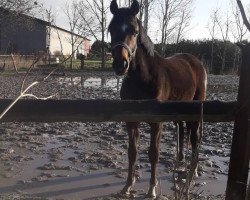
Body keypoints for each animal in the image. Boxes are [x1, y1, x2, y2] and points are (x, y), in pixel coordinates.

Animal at [109, 0, 207, 197]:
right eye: (110, 29)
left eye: (135, 31)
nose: (120, 64)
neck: (143, 78)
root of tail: (196, 62)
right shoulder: (131, 121)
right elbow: (132, 152)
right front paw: (127, 186)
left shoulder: (157, 122)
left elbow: (153, 153)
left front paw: (152, 189)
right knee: (181, 130)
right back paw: (180, 162)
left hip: (194, 111)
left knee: (195, 138)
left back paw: (194, 171)